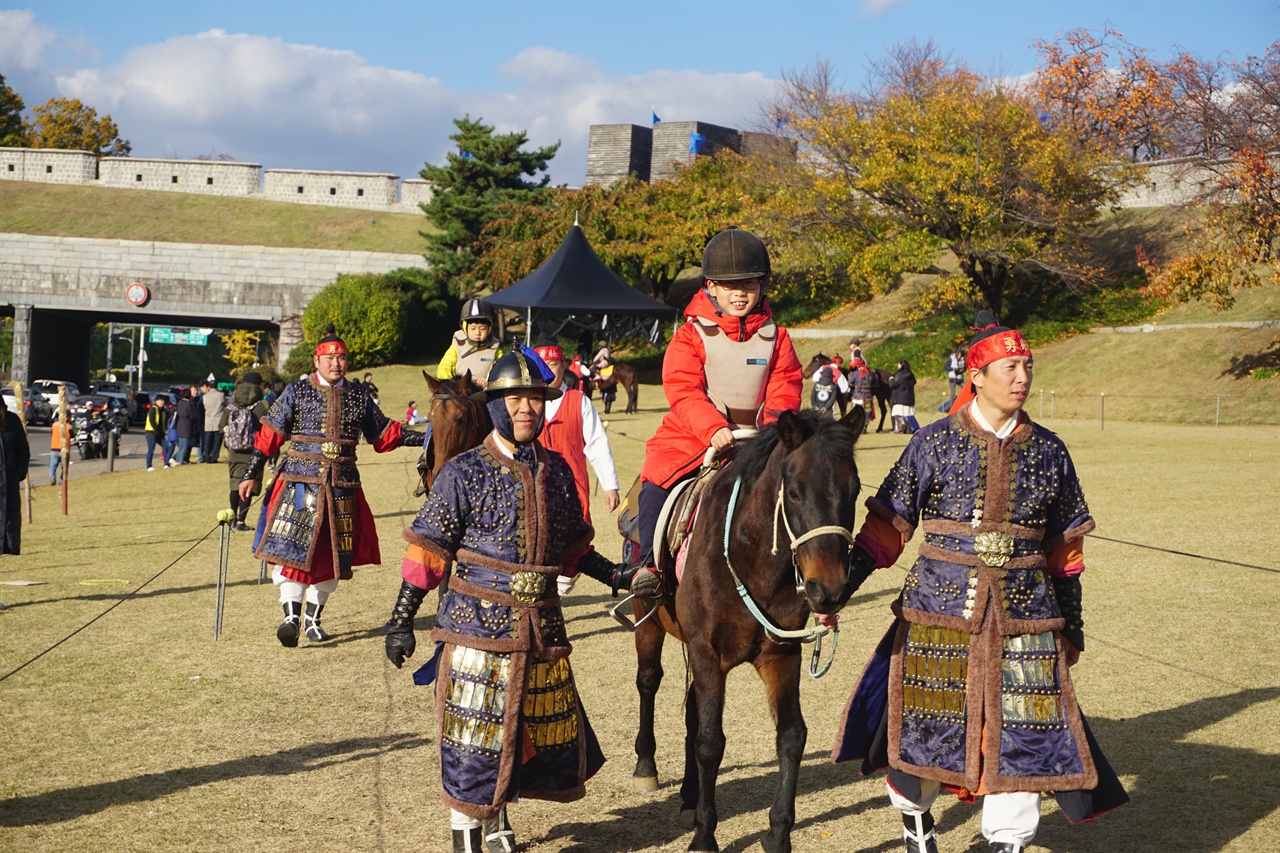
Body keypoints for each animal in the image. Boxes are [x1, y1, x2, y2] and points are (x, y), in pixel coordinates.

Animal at [629, 404, 870, 850]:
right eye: (794, 491)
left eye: (855, 490)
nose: (828, 589)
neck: (750, 560)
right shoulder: (707, 653)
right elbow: (710, 742)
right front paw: (705, 836)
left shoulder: (780, 654)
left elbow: (791, 736)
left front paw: (778, 833)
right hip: (648, 620)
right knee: (649, 682)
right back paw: (646, 767)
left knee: (692, 712)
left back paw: (689, 797)